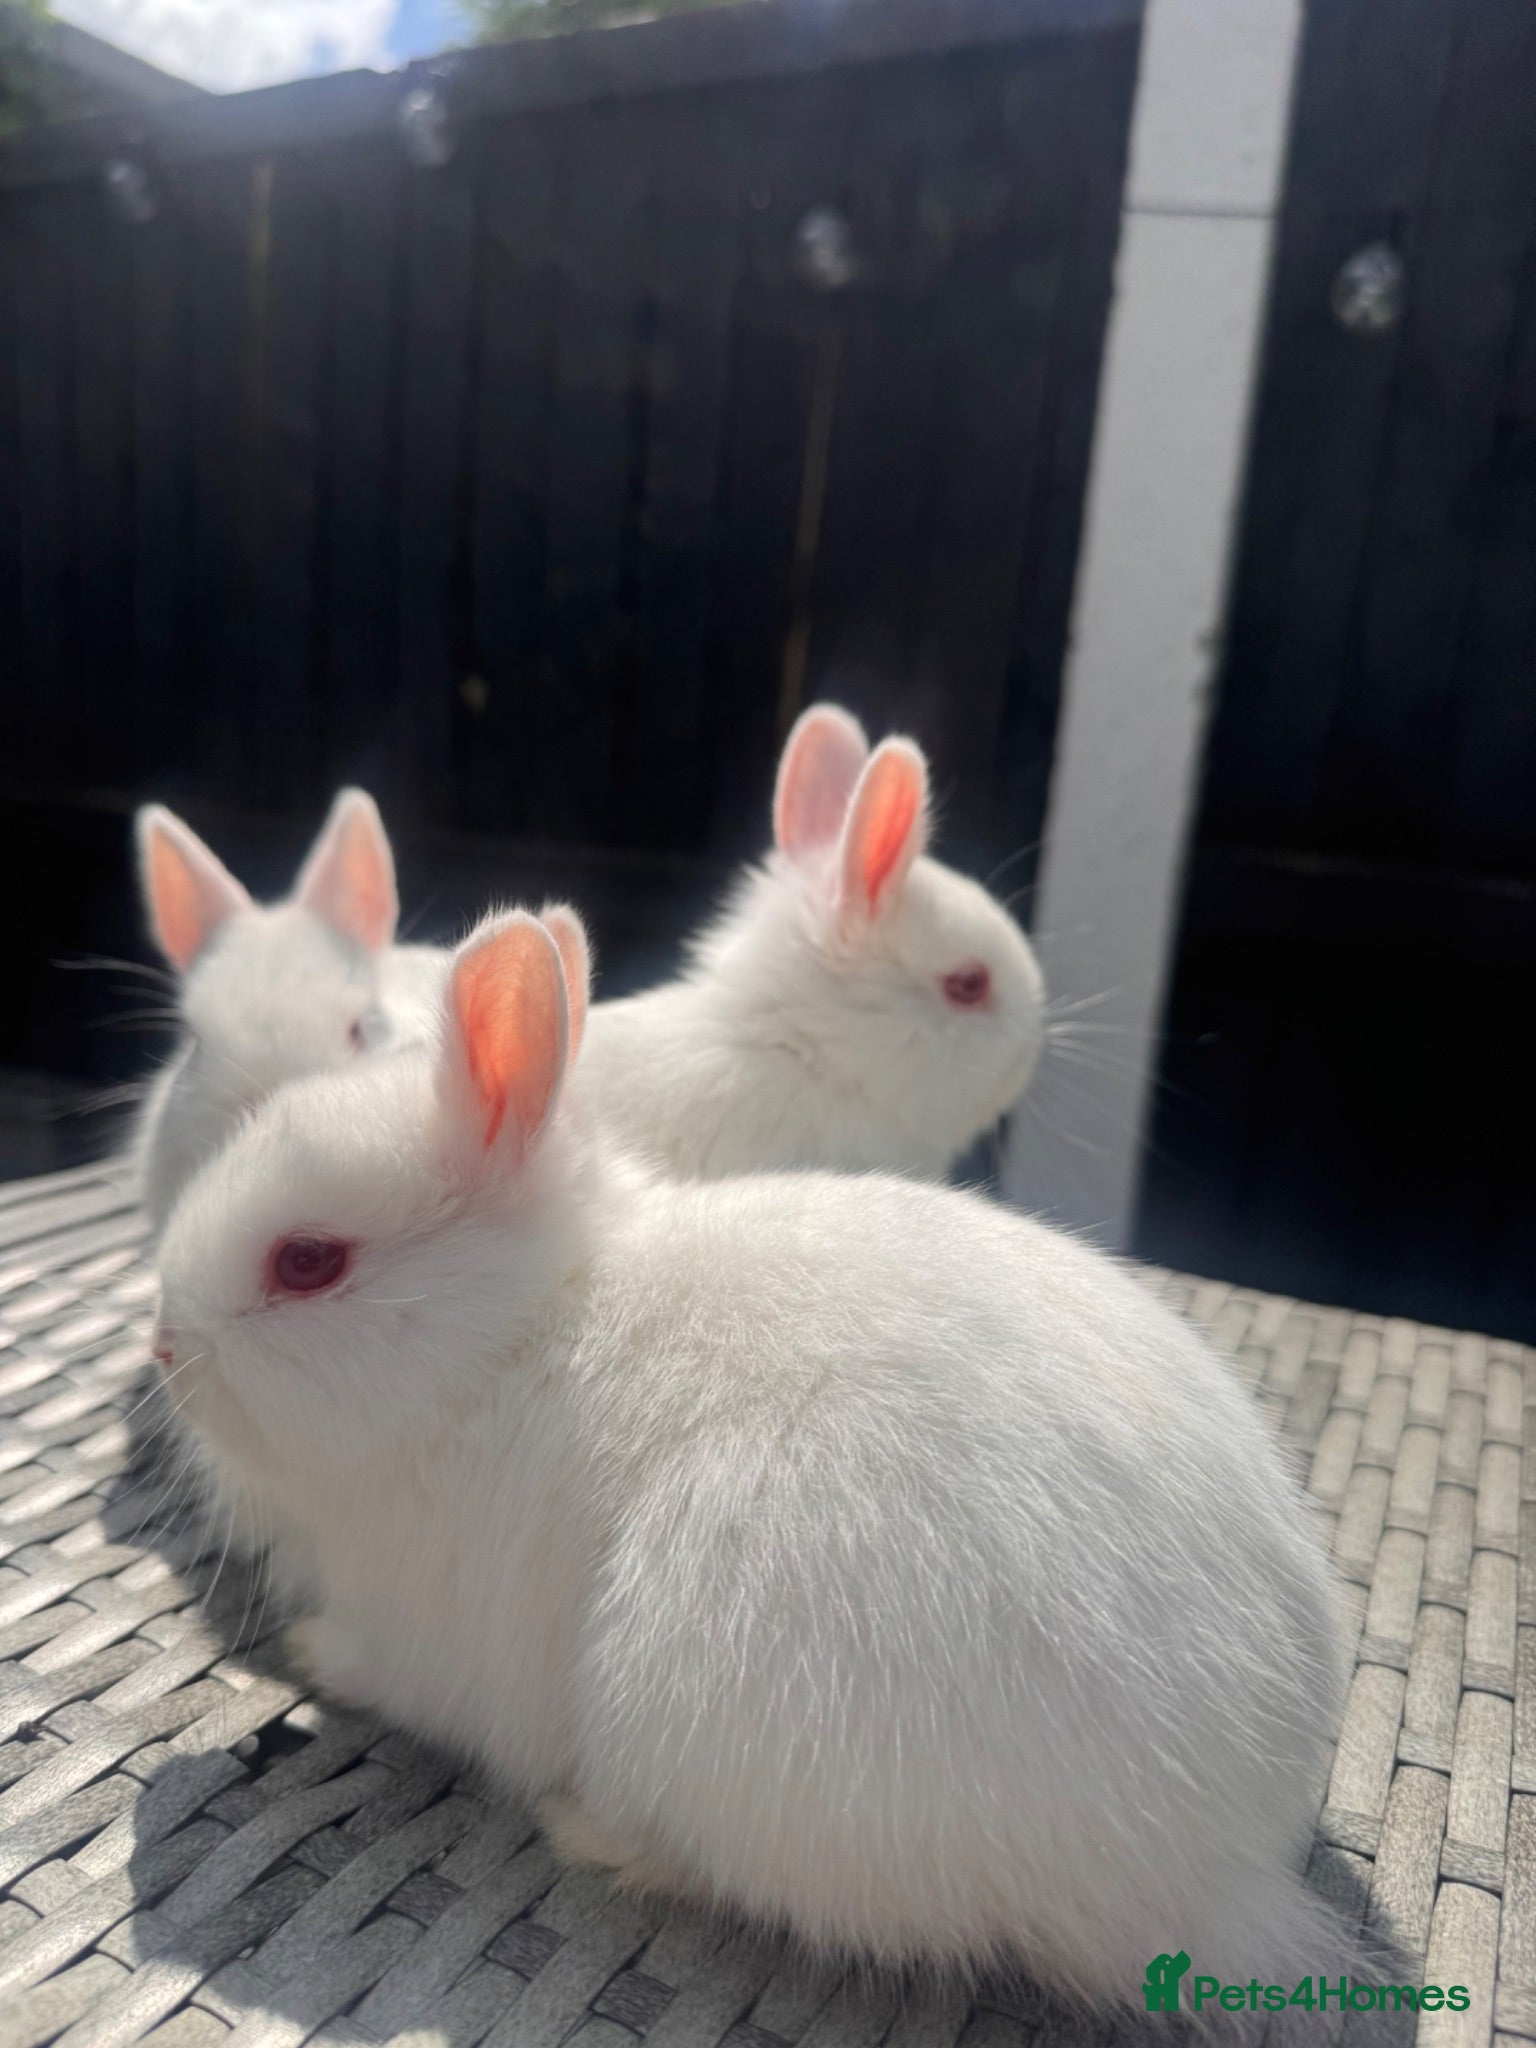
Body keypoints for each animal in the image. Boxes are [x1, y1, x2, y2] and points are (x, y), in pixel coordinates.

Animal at [152, 903, 1360, 2007]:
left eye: (308, 1261)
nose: (166, 1346)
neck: (510, 1336)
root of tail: (1213, 1868)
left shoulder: (423, 1629)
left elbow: (380, 1665)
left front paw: (310, 1651)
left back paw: (593, 1834)